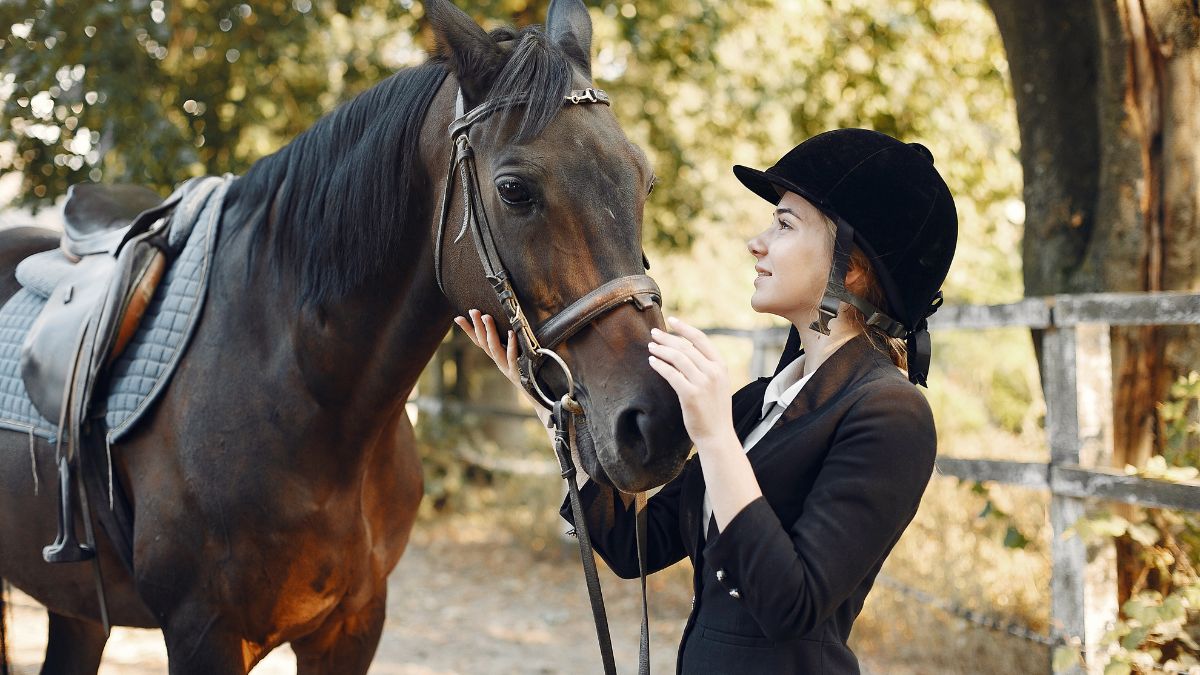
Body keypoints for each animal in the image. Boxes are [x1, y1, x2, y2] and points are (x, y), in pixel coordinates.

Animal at [0, 0, 690, 671]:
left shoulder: (353, 626)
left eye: (644, 180)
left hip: (79, 611)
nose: (659, 421)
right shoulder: (203, 635)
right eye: (514, 190)